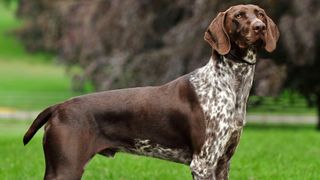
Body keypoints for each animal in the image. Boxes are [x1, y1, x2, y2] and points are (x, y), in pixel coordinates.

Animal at [23, 4, 278, 180]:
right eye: (238, 16)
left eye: (260, 13)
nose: (260, 27)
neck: (231, 84)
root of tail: (59, 106)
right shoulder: (203, 163)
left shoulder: (223, 162)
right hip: (65, 168)